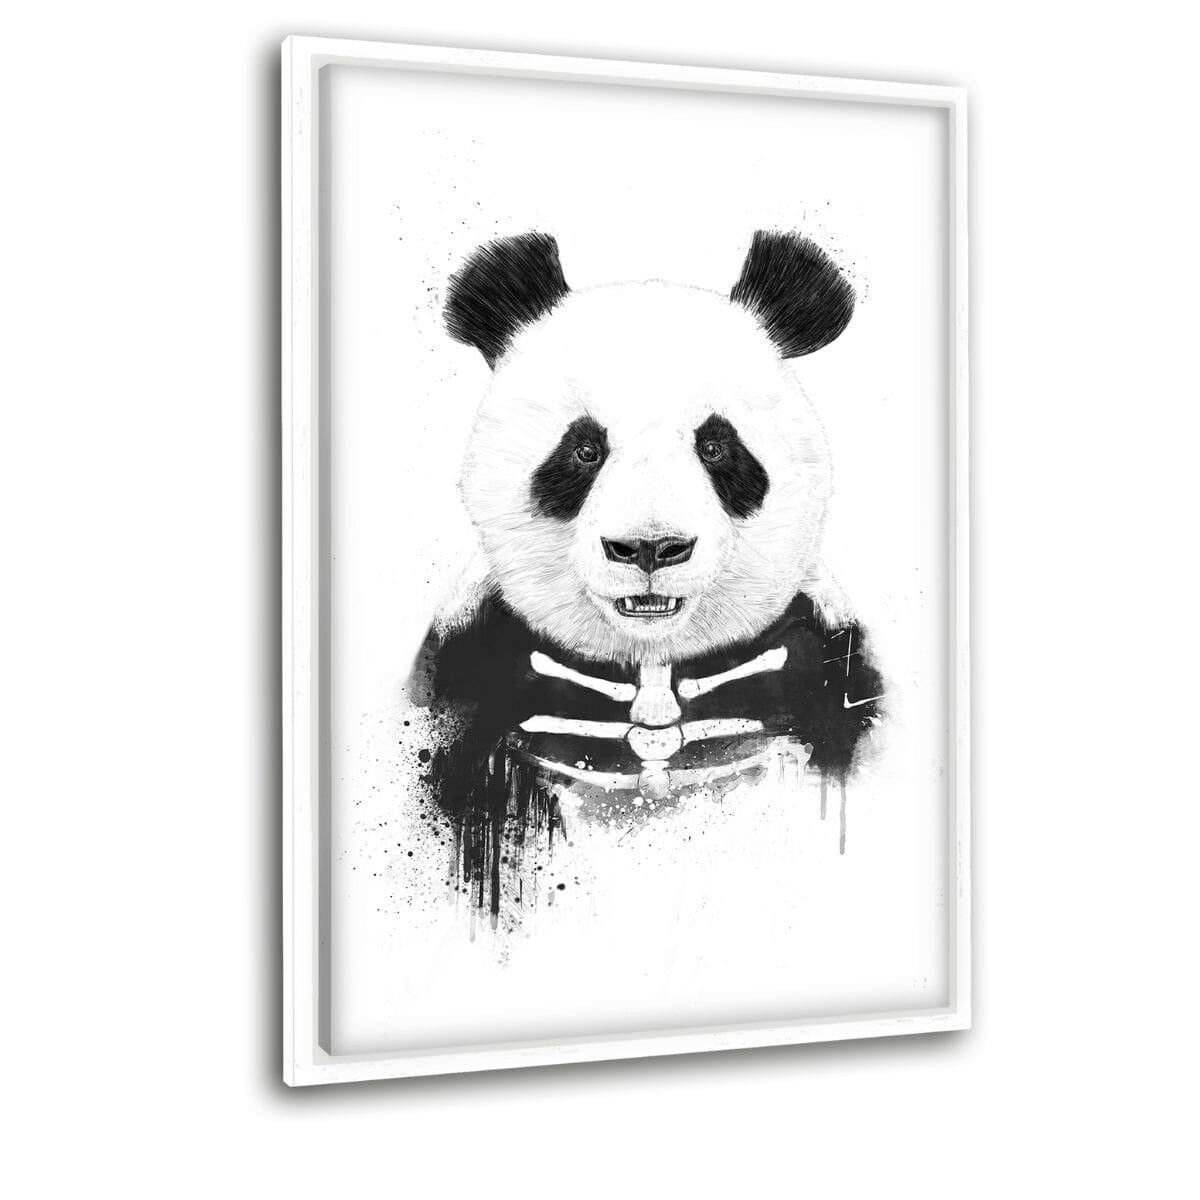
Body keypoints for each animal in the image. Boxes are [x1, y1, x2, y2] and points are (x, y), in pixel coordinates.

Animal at [408, 230, 884, 919]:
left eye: (716, 446)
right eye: (584, 449)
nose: (650, 548)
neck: (652, 661)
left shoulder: (829, 668)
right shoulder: (467, 673)